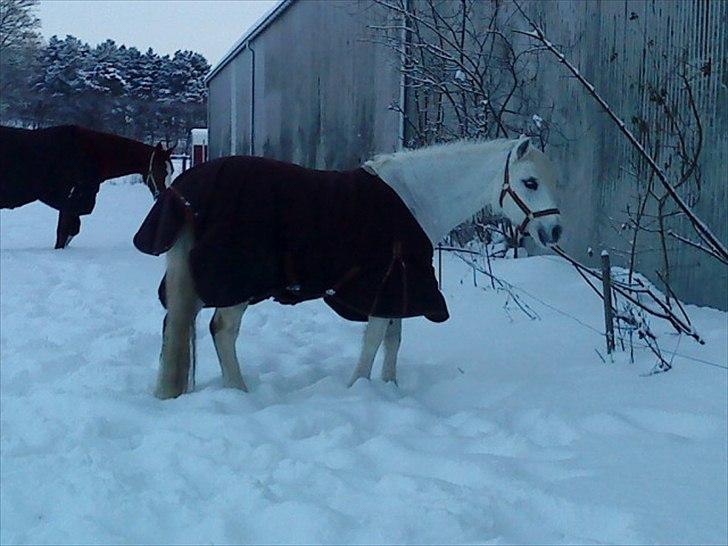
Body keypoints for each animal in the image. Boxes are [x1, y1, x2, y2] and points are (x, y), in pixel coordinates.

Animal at [0, 125, 174, 249]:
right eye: (160, 171)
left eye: (171, 171)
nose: (163, 195)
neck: (90, 153)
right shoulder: (70, 200)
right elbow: (65, 231)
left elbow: (71, 230)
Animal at [133, 136, 563, 399]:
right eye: (530, 182)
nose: (555, 231)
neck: (415, 198)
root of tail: (187, 191)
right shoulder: (384, 284)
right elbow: (374, 339)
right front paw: (359, 385)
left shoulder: (399, 286)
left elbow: (393, 339)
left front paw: (390, 386)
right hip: (238, 282)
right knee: (222, 329)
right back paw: (239, 390)